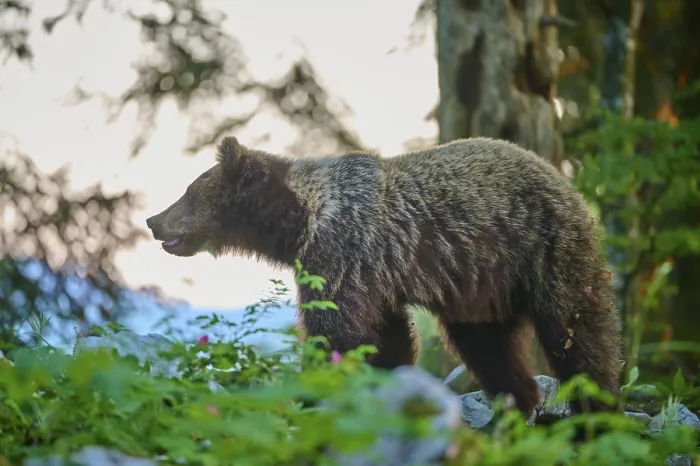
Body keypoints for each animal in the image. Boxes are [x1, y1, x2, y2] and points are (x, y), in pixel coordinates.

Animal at [146, 135, 622, 419]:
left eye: (188, 192)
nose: (153, 220)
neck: (299, 219)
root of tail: (567, 183)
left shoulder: (341, 251)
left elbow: (334, 333)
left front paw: (308, 397)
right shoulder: (373, 278)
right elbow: (383, 336)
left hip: (544, 249)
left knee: (575, 335)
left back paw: (596, 411)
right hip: (481, 290)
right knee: (488, 349)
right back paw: (516, 410)